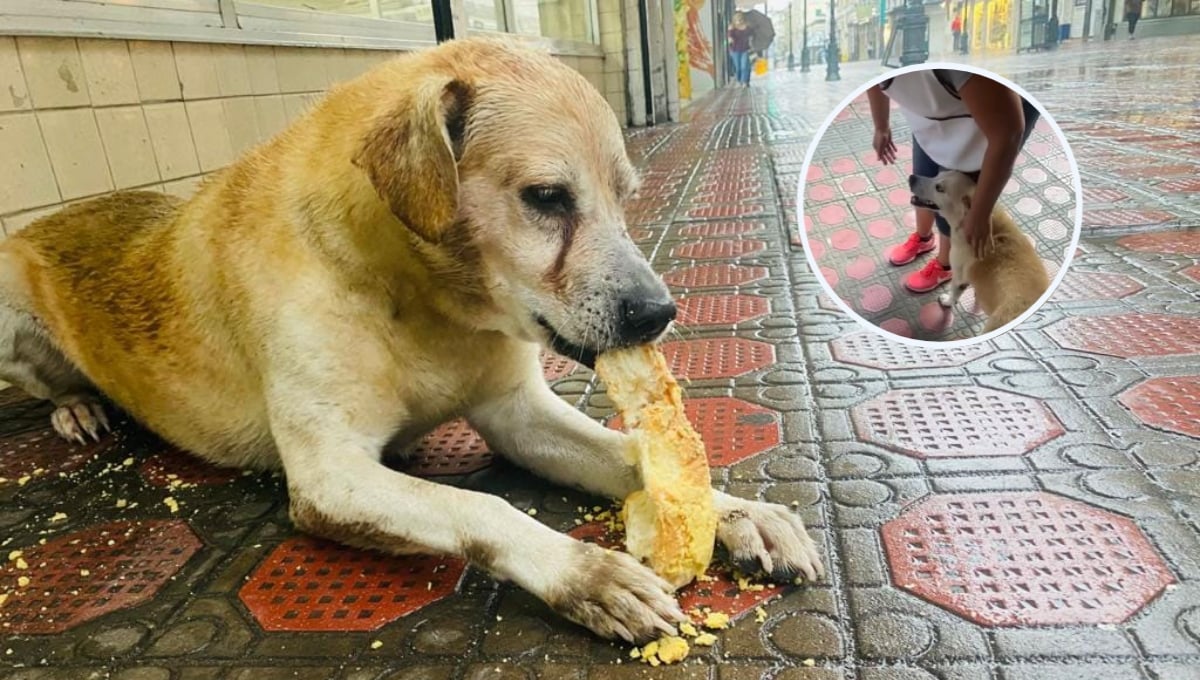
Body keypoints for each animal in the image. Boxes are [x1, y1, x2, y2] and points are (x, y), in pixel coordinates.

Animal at [0, 35, 820, 642]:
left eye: (627, 196)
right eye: (547, 197)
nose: (659, 313)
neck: (425, 304)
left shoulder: (517, 415)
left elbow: (630, 454)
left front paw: (736, 511)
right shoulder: (329, 477)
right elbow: (482, 509)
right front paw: (585, 573)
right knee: (49, 387)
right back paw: (76, 408)